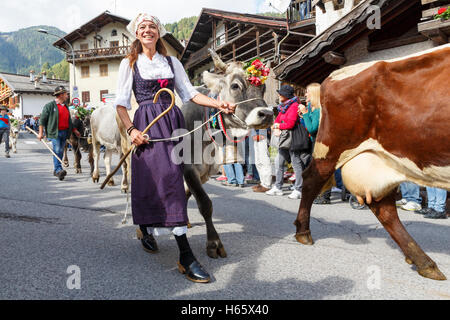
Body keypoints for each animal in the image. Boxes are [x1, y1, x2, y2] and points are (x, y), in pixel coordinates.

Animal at [296, 44, 450, 280]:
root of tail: (334, 76)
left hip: (380, 159)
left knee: (382, 206)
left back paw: (423, 261)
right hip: (333, 147)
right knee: (311, 179)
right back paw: (303, 231)